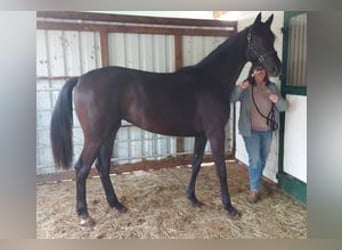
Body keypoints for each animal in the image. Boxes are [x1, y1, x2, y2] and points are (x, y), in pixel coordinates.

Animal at [50, 13, 280, 227]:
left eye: (273, 37)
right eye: (256, 38)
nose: (275, 67)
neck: (211, 80)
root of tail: (80, 80)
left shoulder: (202, 134)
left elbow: (196, 163)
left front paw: (192, 198)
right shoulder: (215, 132)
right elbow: (221, 169)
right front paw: (229, 207)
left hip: (109, 133)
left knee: (102, 167)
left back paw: (116, 204)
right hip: (96, 136)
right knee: (81, 168)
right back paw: (84, 215)